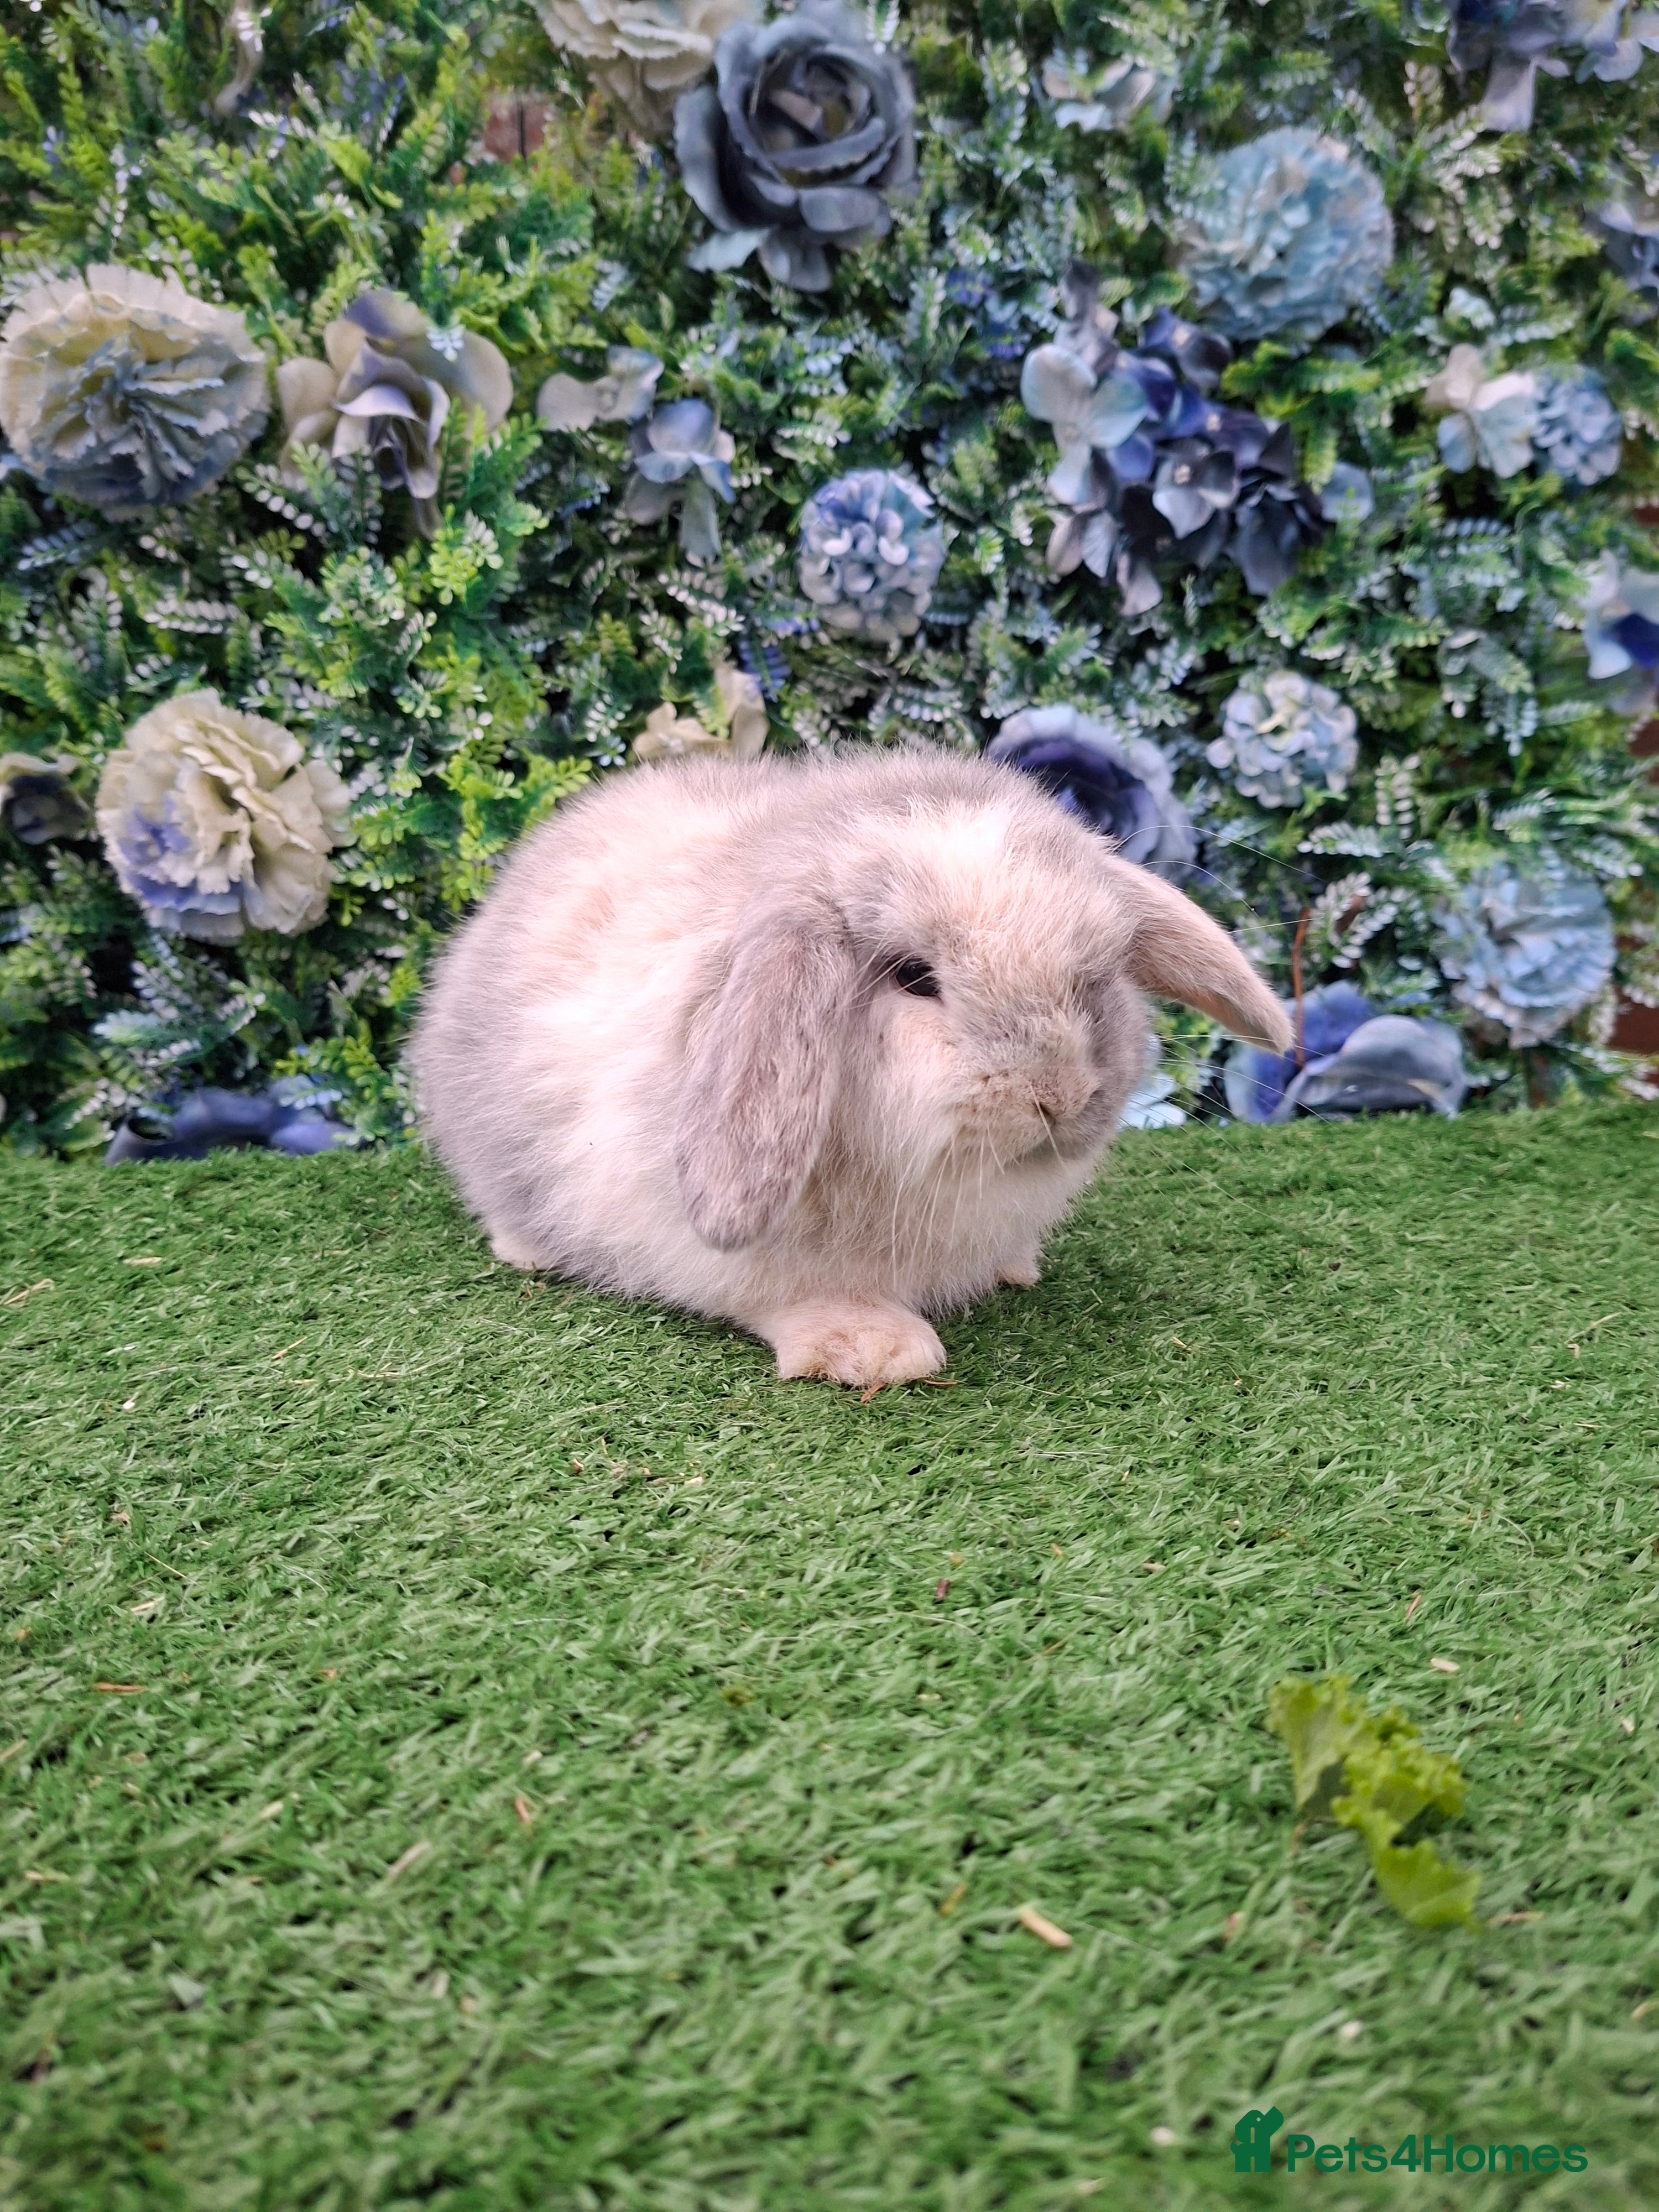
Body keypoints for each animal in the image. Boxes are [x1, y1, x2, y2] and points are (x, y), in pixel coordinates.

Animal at [410, 746, 1291, 1389]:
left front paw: (1013, 1267)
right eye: (914, 977)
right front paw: (874, 1349)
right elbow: (786, 1293)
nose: (1061, 1095)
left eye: (1095, 973)